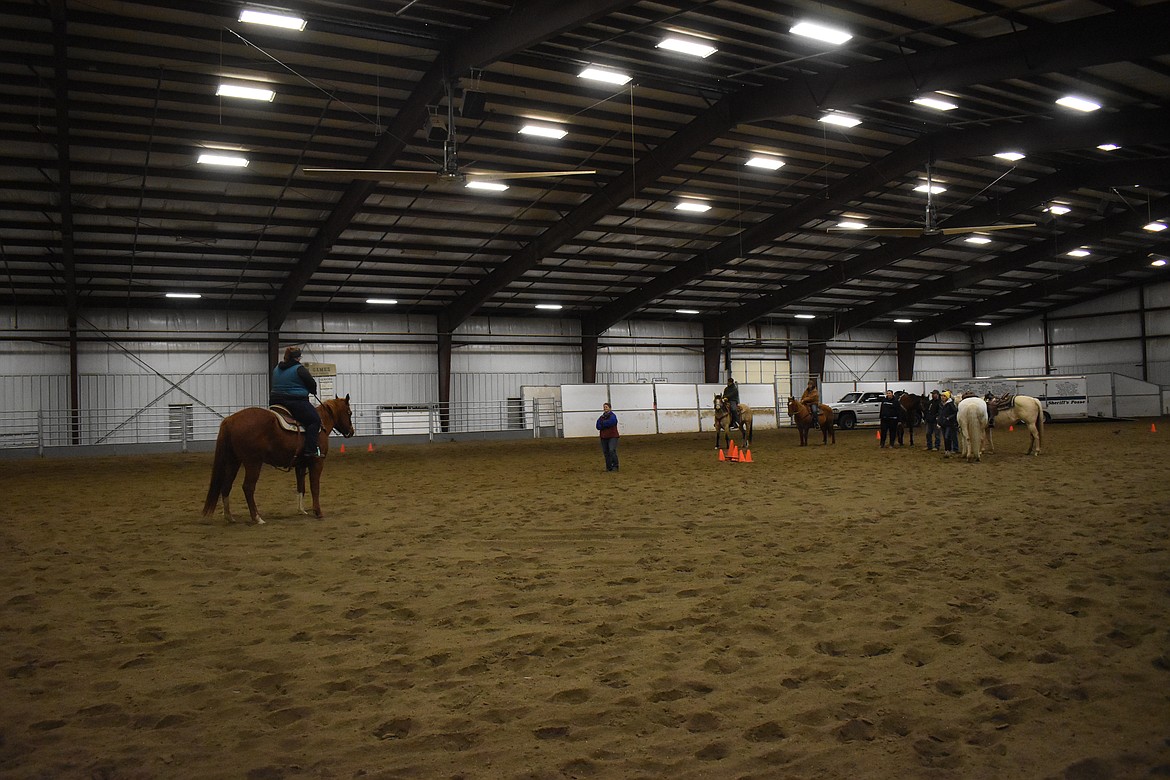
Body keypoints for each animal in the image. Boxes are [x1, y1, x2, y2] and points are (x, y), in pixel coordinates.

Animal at [203, 397, 353, 523]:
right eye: (349, 412)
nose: (351, 431)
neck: (320, 424)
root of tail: (230, 420)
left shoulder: (300, 465)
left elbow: (301, 487)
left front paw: (301, 510)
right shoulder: (317, 462)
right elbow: (314, 487)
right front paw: (318, 512)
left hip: (233, 461)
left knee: (226, 485)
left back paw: (229, 516)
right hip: (253, 463)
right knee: (248, 487)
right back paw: (257, 518)